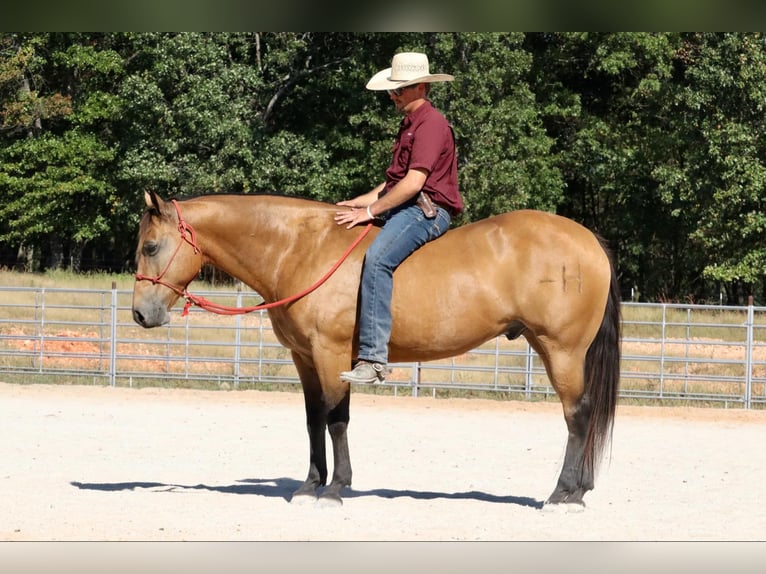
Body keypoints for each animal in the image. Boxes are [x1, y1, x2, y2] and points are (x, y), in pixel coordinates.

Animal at [134, 191, 624, 510]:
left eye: (150, 246)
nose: (141, 313)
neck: (301, 250)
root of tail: (589, 241)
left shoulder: (331, 354)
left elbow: (336, 419)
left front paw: (335, 489)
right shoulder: (304, 358)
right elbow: (313, 420)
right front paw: (310, 485)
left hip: (561, 350)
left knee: (578, 415)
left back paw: (564, 494)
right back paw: (579, 490)